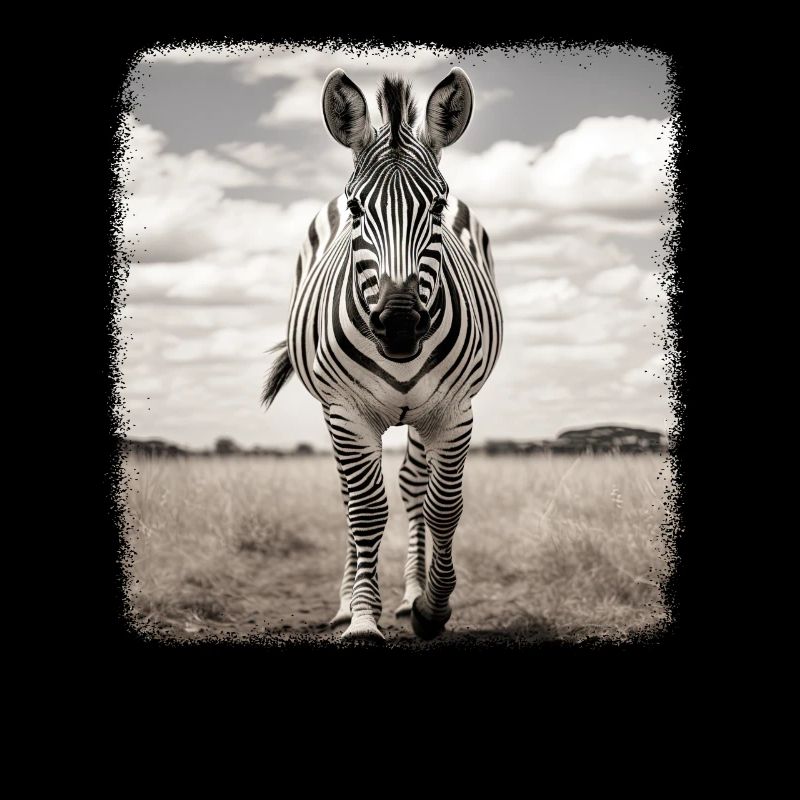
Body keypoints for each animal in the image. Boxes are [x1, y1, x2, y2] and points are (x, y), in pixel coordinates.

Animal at [262, 68, 503, 642]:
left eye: (437, 207)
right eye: (356, 209)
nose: (398, 325)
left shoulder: (454, 411)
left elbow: (443, 507)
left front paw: (431, 607)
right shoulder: (346, 412)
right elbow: (366, 510)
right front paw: (362, 620)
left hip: (419, 416)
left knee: (415, 488)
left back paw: (411, 595)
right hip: (337, 412)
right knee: (352, 498)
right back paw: (347, 601)